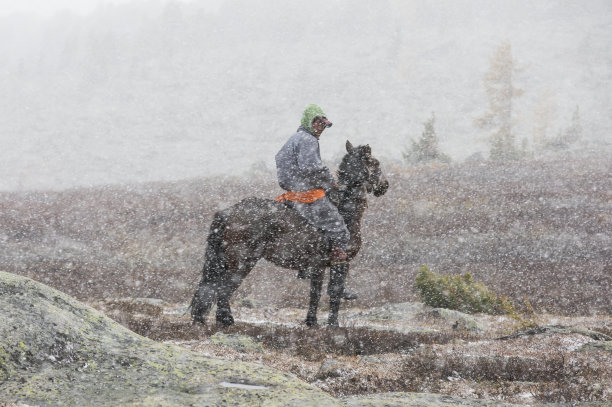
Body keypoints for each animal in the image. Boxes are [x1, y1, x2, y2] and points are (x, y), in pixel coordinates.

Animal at [190, 140, 388, 328]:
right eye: (375, 163)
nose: (384, 185)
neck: (345, 210)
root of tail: (229, 211)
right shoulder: (339, 262)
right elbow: (334, 292)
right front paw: (333, 324)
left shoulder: (318, 266)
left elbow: (315, 293)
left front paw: (312, 322)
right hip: (242, 262)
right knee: (223, 290)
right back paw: (227, 321)